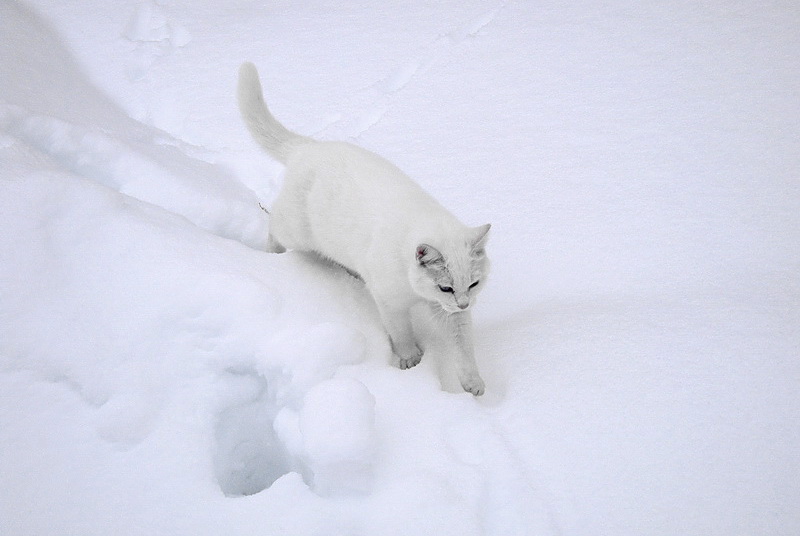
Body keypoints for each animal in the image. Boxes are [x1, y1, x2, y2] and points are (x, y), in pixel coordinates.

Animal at [234, 62, 490, 394]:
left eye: (473, 284)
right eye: (445, 286)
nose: (463, 303)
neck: (418, 291)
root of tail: (309, 147)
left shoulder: (448, 313)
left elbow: (462, 347)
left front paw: (473, 382)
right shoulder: (390, 302)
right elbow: (400, 332)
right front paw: (409, 359)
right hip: (296, 229)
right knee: (273, 224)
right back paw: (273, 254)